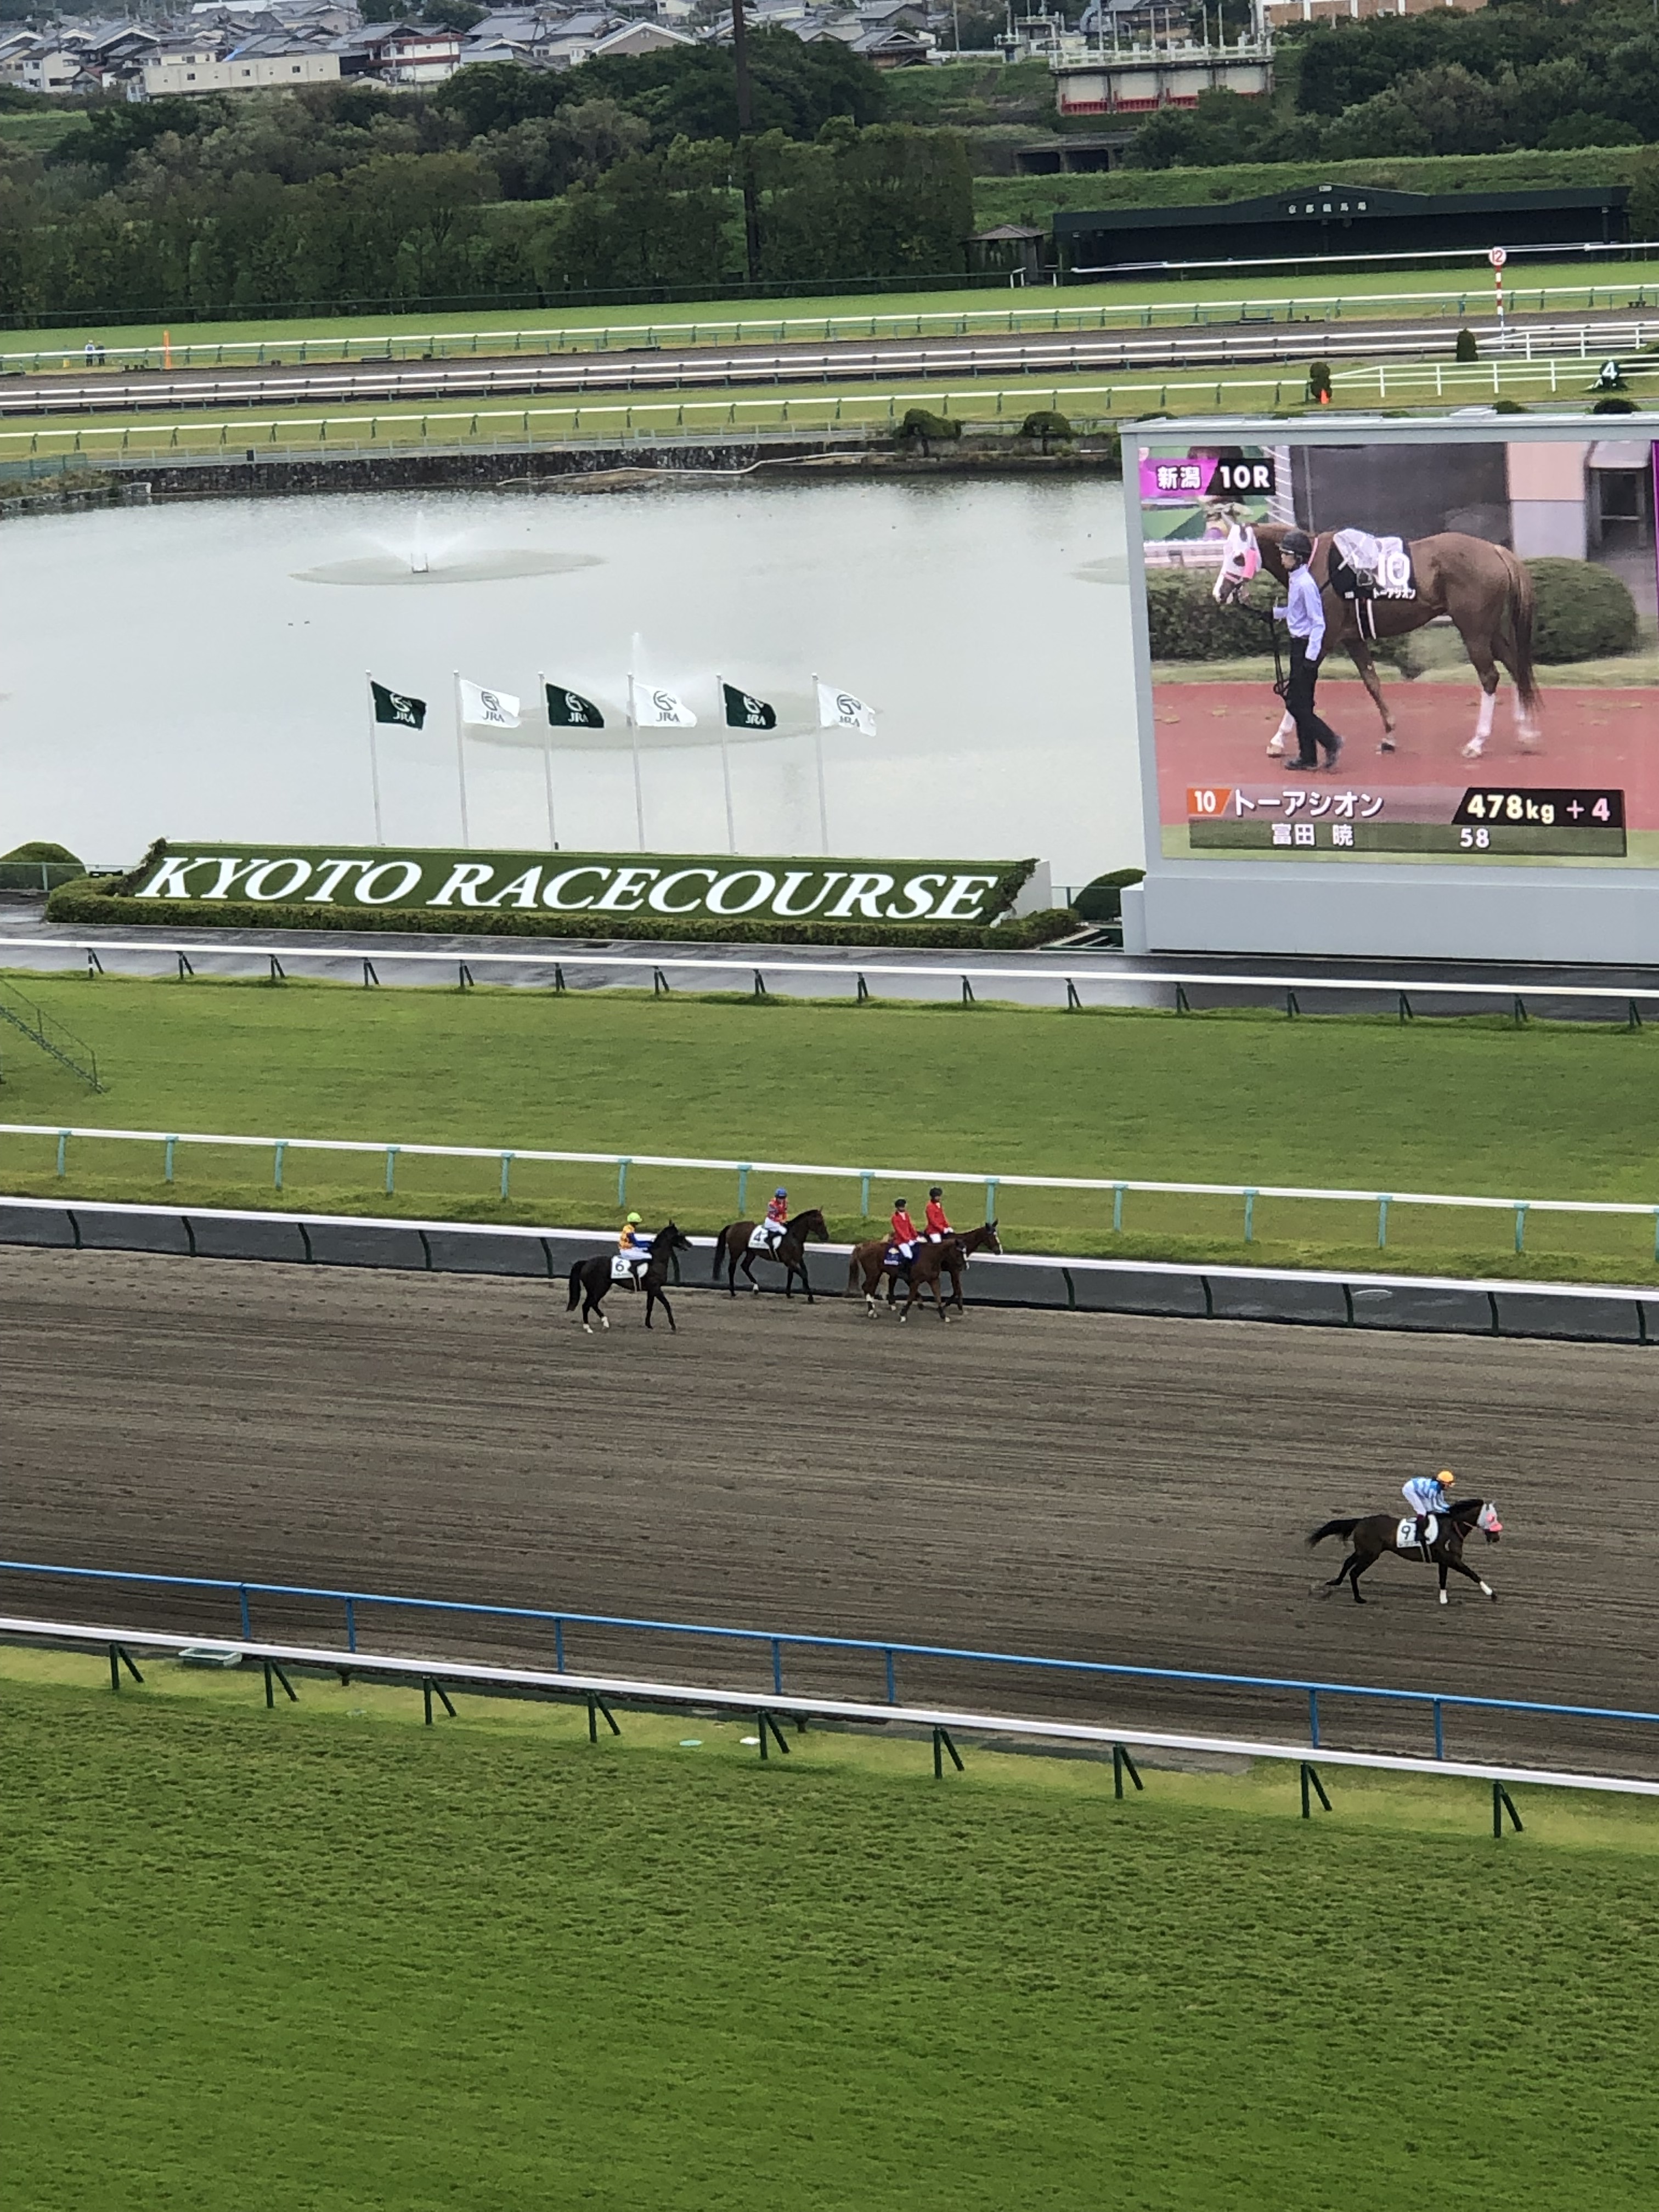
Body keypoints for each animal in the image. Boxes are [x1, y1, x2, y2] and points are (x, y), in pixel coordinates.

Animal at [566, 1222, 693, 1334]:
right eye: (679, 1234)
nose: (690, 1245)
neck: (656, 1260)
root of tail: (586, 1263)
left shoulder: (651, 1290)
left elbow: (650, 1306)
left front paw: (649, 1325)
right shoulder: (656, 1288)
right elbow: (667, 1305)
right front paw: (673, 1326)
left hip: (596, 1289)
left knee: (593, 1304)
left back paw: (605, 1324)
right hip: (599, 1288)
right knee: (587, 1305)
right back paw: (589, 1328)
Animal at [710, 1207, 829, 1302]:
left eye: (823, 1220)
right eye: (819, 1222)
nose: (826, 1236)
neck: (793, 1236)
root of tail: (732, 1226)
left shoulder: (797, 1259)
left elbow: (797, 1275)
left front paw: (790, 1294)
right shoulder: (789, 1261)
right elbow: (802, 1274)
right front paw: (810, 1297)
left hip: (751, 1253)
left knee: (745, 1266)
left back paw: (756, 1288)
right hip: (736, 1252)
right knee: (732, 1269)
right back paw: (733, 1292)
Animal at [845, 1222, 1002, 1322]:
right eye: (993, 1236)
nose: (999, 1250)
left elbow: (951, 1291)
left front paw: (945, 1308)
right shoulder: (954, 1271)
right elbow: (957, 1289)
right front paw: (959, 1307)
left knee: (888, 1283)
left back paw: (893, 1304)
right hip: (875, 1273)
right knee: (871, 1287)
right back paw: (878, 1310)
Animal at [1213, 516, 1540, 760]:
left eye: (1239, 557)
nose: (1220, 593)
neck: (1315, 564)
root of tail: (1496, 550)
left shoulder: (1325, 637)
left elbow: (1298, 685)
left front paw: (1278, 740)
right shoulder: (1352, 638)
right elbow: (1372, 683)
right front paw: (1390, 736)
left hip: (1474, 630)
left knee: (1490, 677)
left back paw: (1478, 742)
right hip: (1490, 630)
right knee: (1515, 667)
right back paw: (1526, 733)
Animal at [1308, 1495, 1502, 1606]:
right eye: (1492, 1518)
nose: (1496, 1538)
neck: (1450, 1528)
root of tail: (1361, 1521)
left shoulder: (1444, 1560)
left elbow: (1443, 1579)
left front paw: (1444, 1600)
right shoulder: (1451, 1558)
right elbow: (1472, 1574)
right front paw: (1492, 1594)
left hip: (1364, 1551)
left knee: (1348, 1562)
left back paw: (1335, 1582)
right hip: (1370, 1555)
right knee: (1355, 1572)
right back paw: (1359, 1599)